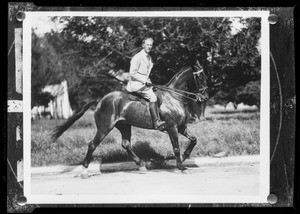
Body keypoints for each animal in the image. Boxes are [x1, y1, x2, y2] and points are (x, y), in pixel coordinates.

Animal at [51, 63, 209, 177]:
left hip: (125, 126)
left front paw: (184, 158)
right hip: (104, 128)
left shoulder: (181, 127)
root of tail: (100, 100)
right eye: (200, 77)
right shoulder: (172, 127)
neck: (174, 96)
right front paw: (181, 166)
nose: (205, 97)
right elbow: (176, 147)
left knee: (126, 145)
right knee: (92, 145)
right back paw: (84, 171)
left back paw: (141, 165)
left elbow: (194, 140)